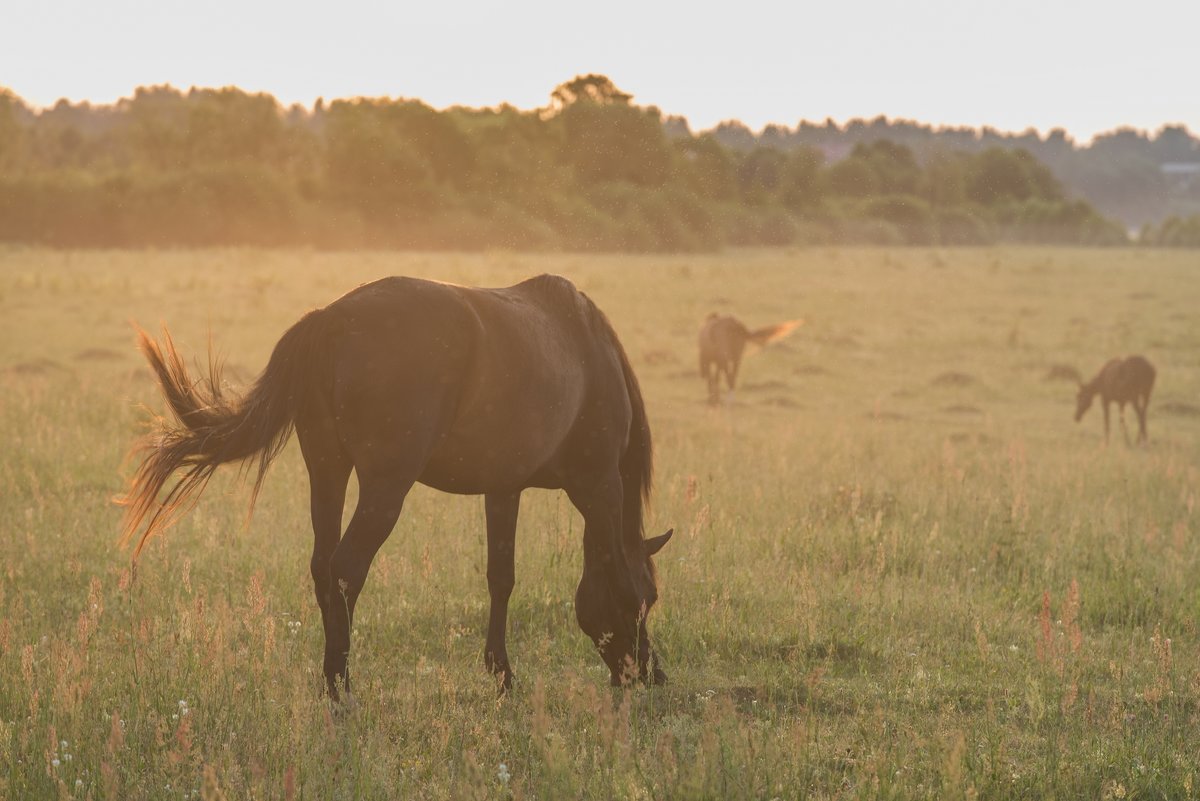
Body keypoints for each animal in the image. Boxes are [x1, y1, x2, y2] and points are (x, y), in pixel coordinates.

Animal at [119, 273, 676, 695]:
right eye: (652, 598)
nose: (650, 677)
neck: (588, 352)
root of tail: (330, 321)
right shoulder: (600, 485)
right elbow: (616, 571)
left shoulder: (503, 488)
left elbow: (501, 577)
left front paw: (502, 675)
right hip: (386, 487)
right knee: (346, 569)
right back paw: (341, 688)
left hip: (327, 470)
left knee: (323, 567)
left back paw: (332, 679)